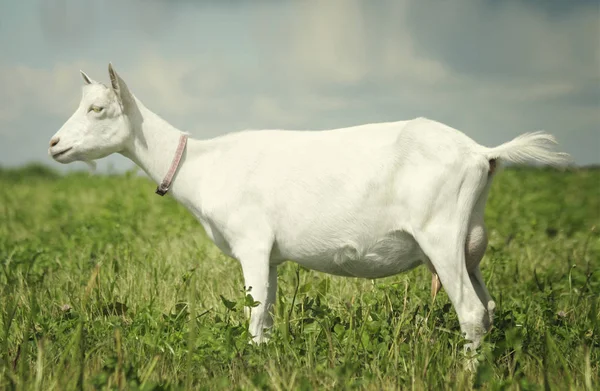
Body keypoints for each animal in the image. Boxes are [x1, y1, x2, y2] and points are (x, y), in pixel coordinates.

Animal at [49, 65, 568, 352]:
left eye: (98, 109)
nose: (54, 144)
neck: (203, 162)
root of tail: (483, 153)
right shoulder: (272, 256)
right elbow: (267, 317)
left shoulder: (252, 243)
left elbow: (254, 316)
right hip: (468, 242)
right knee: (489, 307)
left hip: (440, 234)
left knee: (471, 313)